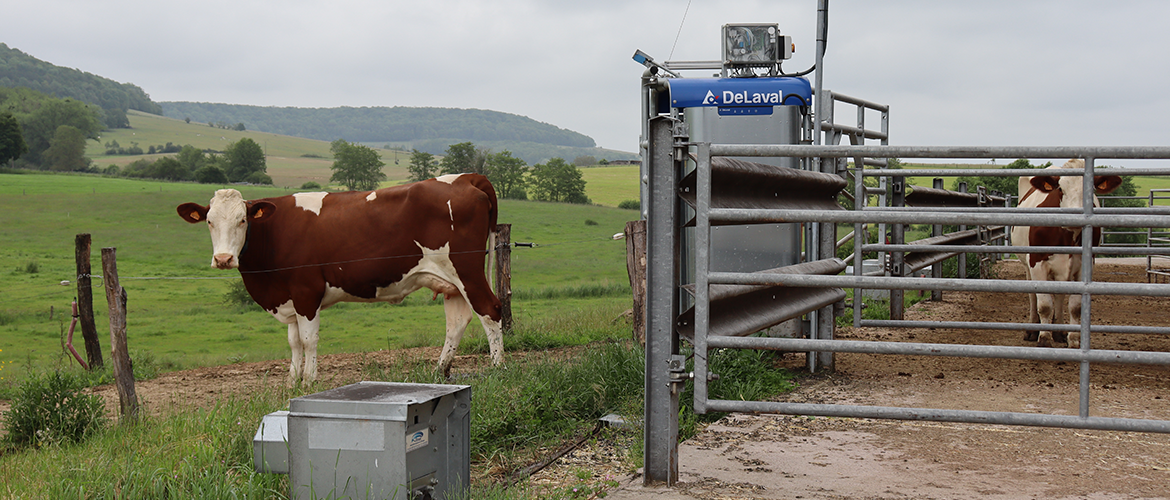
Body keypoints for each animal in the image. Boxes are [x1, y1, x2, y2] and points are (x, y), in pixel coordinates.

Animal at [176, 174, 503, 386]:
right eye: (209, 222)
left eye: (242, 220)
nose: (223, 259)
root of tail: (465, 177)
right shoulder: (289, 296)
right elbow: (293, 341)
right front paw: (292, 380)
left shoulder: (306, 291)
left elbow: (308, 339)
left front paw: (309, 380)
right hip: (451, 282)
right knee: (457, 322)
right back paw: (440, 371)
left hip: (467, 271)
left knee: (490, 311)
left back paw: (498, 368)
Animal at [1010, 159, 1118, 348]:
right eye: (1060, 188)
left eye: (1091, 190)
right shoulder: (1037, 263)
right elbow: (1044, 305)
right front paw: (1044, 339)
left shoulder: (1084, 266)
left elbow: (1075, 307)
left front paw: (1073, 340)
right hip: (1027, 265)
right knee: (1033, 296)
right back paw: (1033, 330)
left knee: (1059, 296)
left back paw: (1059, 332)